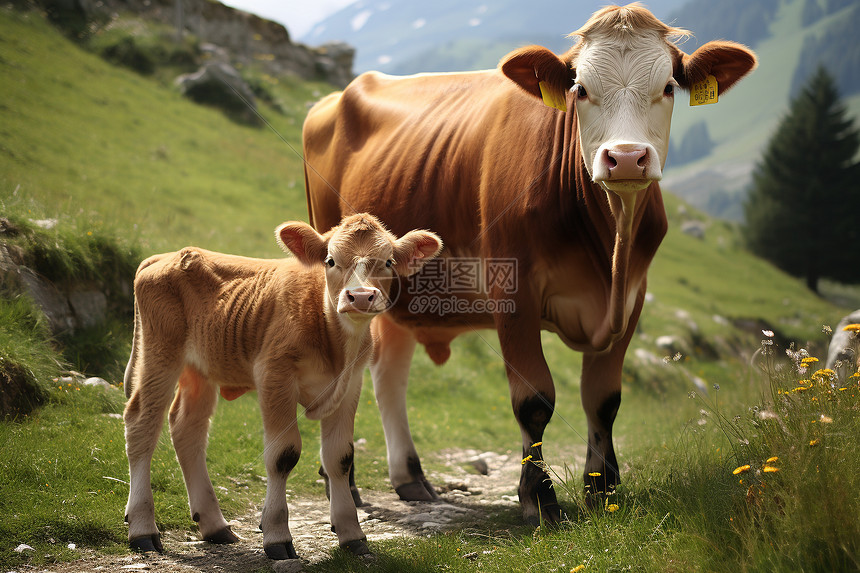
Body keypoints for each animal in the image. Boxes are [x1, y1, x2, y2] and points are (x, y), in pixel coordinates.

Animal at [122, 213, 444, 560]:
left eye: (387, 262)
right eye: (331, 260)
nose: (359, 296)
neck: (331, 338)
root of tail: (162, 257)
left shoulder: (351, 384)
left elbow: (340, 457)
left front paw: (351, 533)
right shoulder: (274, 376)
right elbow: (282, 455)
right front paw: (276, 535)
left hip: (200, 370)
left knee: (187, 429)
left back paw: (215, 526)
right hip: (160, 353)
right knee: (142, 423)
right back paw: (142, 529)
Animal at [300, 4, 752, 524]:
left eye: (669, 87)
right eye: (580, 89)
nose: (626, 158)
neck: (608, 244)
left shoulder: (633, 296)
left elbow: (604, 399)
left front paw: (604, 490)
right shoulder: (513, 291)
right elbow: (534, 400)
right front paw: (539, 499)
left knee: (388, 373)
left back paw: (410, 477)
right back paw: (346, 488)